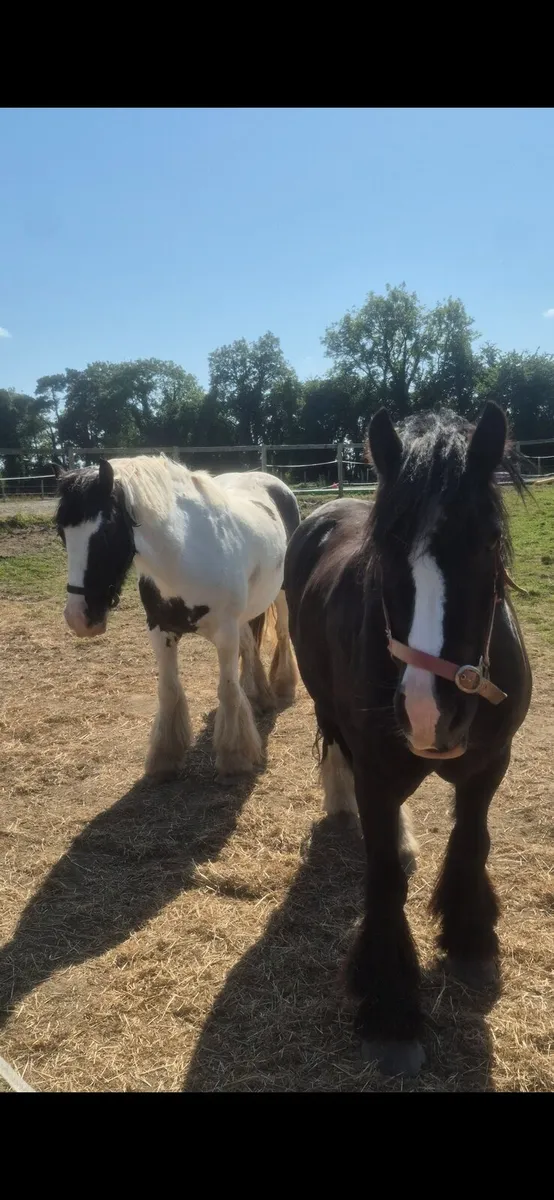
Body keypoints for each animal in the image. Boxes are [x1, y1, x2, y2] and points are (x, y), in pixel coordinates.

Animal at [54, 455, 299, 780]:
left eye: (105, 533)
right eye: (62, 534)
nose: (78, 618)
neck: (184, 553)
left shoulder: (225, 634)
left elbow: (227, 689)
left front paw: (234, 756)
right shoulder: (161, 631)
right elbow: (169, 691)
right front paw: (165, 756)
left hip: (280, 594)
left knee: (282, 634)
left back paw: (282, 686)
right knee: (249, 646)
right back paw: (258, 695)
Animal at [284, 403, 532, 1076]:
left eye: (488, 541)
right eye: (384, 550)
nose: (428, 713)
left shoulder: (489, 765)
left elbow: (471, 841)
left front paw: (470, 940)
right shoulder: (376, 774)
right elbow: (385, 878)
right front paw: (390, 1011)